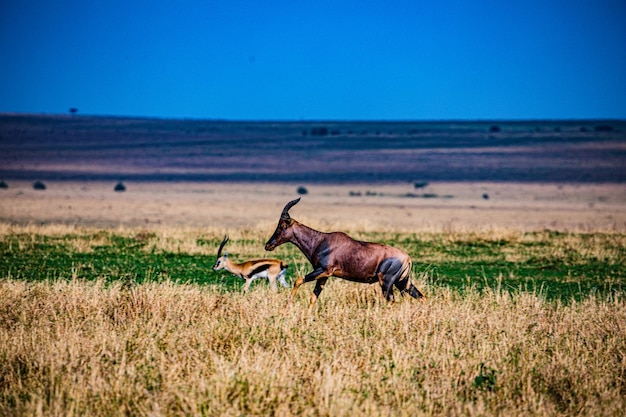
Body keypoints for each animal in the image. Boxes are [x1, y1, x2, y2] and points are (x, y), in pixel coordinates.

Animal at [264, 197, 424, 304]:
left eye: (282, 225)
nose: (268, 245)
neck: (322, 241)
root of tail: (407, 258)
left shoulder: (324, 270)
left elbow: (298, 280)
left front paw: (289, 304)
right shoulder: (323, 276)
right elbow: (313, 297)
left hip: (387, 283)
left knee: (392, 301)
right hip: (402, 282)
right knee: (421, 297)